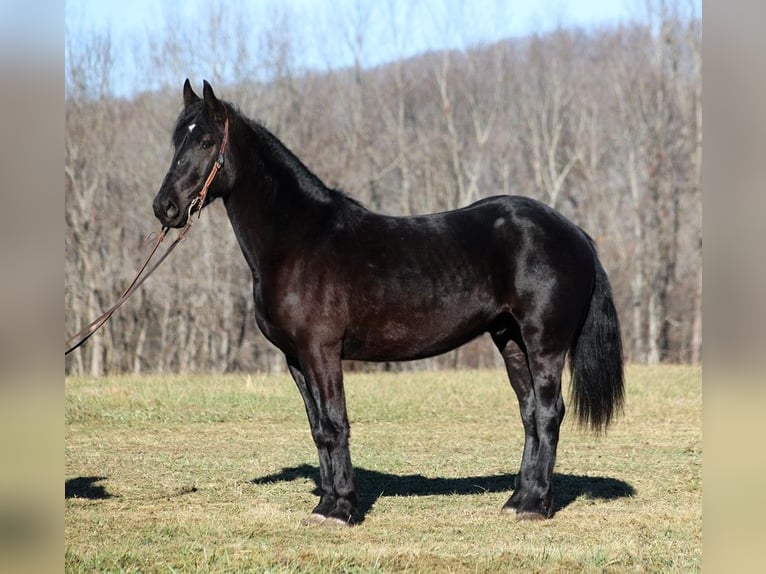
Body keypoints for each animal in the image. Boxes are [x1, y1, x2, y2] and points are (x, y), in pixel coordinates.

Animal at [154, 80, 624, 528]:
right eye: (176, 139)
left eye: (206, 141)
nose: (165, 207)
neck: (298, 240)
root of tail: (573, 231)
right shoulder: (295, 358)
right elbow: (318, 429)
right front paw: (327, 503)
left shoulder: (321, 351)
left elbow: (335, 424)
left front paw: (340, 510)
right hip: (511, 340)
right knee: (529, 414)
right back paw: (517, 499)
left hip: (545, 343)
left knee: (548, 413)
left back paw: (536, 505)